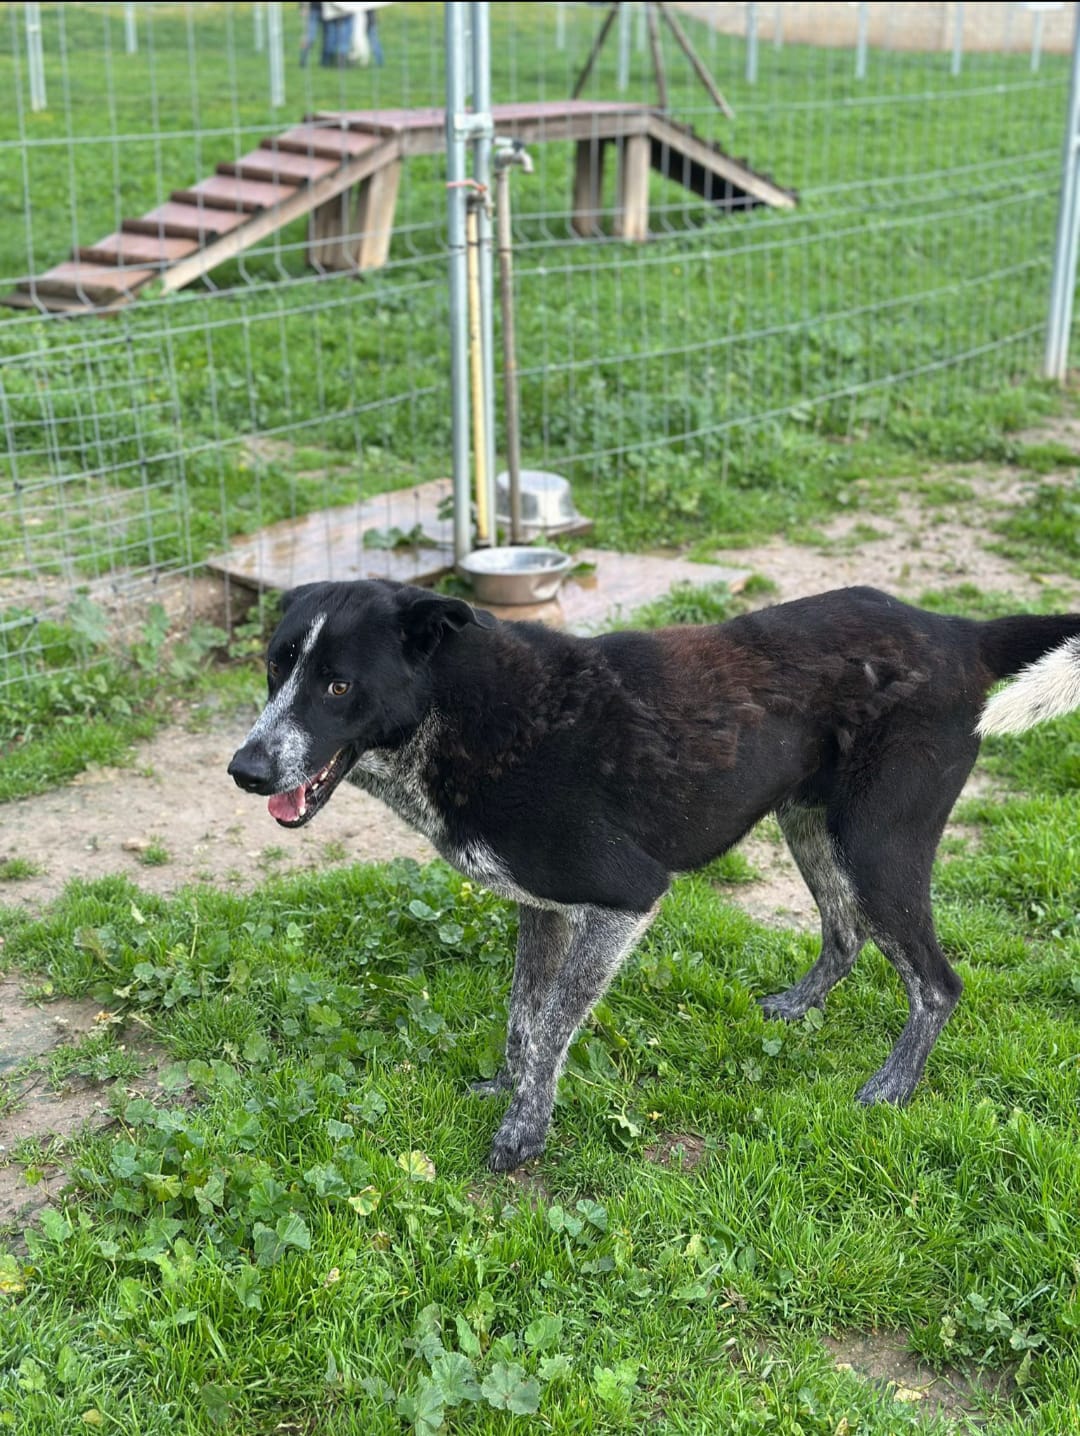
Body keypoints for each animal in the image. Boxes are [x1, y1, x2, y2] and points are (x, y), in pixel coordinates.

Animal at [228, 579, 1080, 1172]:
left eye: (339, 684)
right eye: (274, 668)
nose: (245, 769)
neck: (463, 708)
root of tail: (957, 630)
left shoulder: (625, 901)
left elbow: (552, 1024)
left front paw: (524, 1132)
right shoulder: (545, 909)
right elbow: (523, 1017)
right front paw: (510, 1091)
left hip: (877, 844)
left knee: (936, 983)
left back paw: (893, 1087)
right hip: (811, 824)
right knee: (845, 935)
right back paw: (798, 1007)